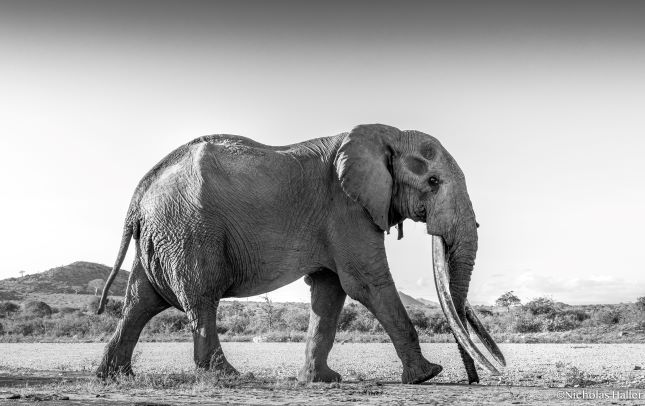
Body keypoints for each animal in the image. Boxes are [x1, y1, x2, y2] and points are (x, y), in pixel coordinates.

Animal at [96, 123, 505, 384]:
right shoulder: (346, 207)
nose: (475, 380)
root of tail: (141, 193)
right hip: (189, 229)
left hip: (165, 233)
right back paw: (227, 375)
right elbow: (367, 282)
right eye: (433, 182)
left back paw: (114, 376)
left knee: (140, 301)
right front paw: (427, 375)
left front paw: (322, 381)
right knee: (200, 298)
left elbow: (330, 291)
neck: (385, 135)